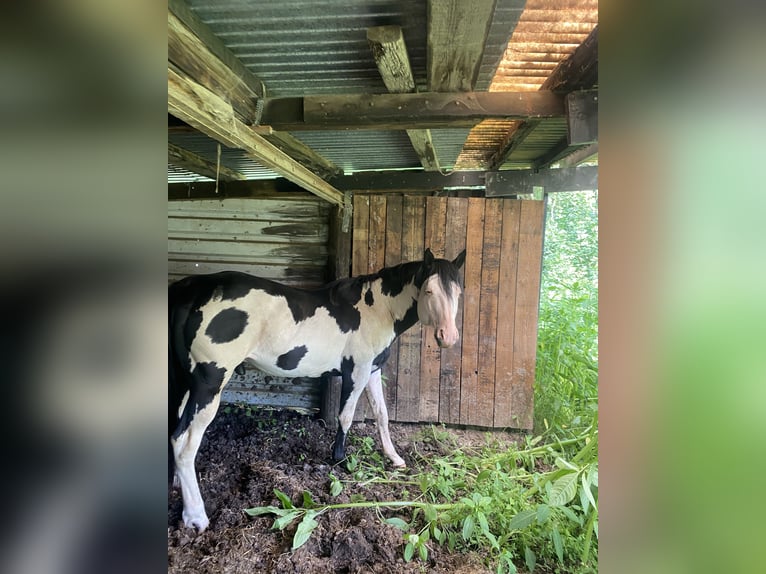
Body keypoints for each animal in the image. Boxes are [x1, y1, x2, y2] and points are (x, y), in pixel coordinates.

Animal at [169, 248, 466, 532]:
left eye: (458, 292)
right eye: (429, 290)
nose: (448, 337)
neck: (377, 309)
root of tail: (191, 290)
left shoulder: (372, 371)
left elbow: (382, 415)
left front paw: (394, 458)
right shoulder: (356, 371)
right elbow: (345, 416)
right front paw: (339, 459)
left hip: (186, 383)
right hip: (208, 386)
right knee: (184, 443)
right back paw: (195, 516)